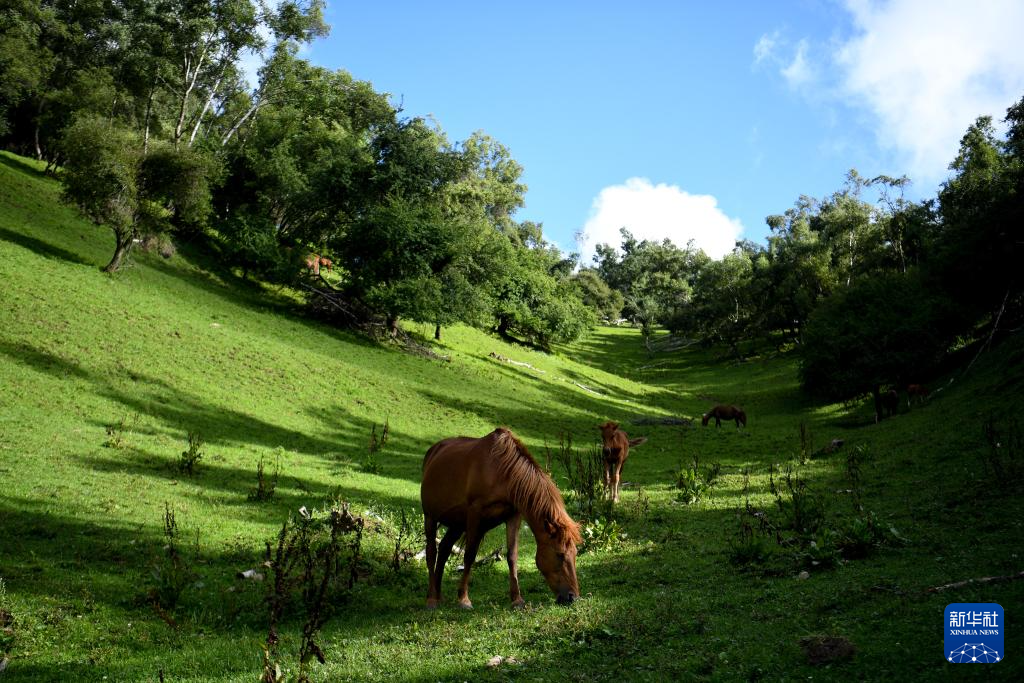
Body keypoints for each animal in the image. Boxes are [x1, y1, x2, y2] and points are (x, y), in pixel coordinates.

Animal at [419, 428, 581, 610]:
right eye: (560, 555)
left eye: (575, 553)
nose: (572, 597)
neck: (502, 472)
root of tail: (433, 450)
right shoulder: (475, 514)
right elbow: (469, 556)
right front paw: (464, 599)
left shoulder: (513, 516)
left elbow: (512, 556)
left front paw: (517, 599)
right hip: (430, 517)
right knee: (431, 552)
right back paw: (431, 598)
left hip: (456, 525)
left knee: (444, 549)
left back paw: (438, 595)